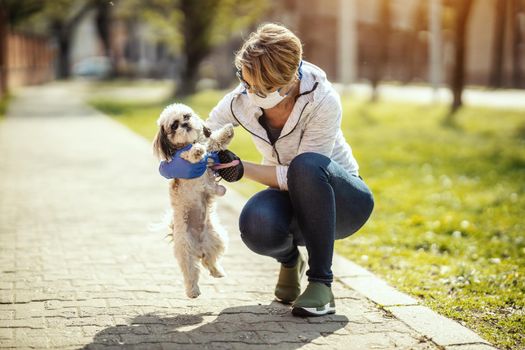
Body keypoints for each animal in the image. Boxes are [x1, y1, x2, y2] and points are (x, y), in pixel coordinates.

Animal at [151, 102, 233, 296]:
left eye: (186, 116)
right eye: (174, 125)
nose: (184, 124)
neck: (188, 141)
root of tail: (199, 245)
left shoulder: (210, 148)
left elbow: (213, 141)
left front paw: (226, 132)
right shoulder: (182, 158)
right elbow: (187, 154)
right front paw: (195, 151)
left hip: (217, 238)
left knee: (208, 260)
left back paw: (217, 271)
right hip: (185, 249)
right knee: (191, 271)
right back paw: (193, 291)